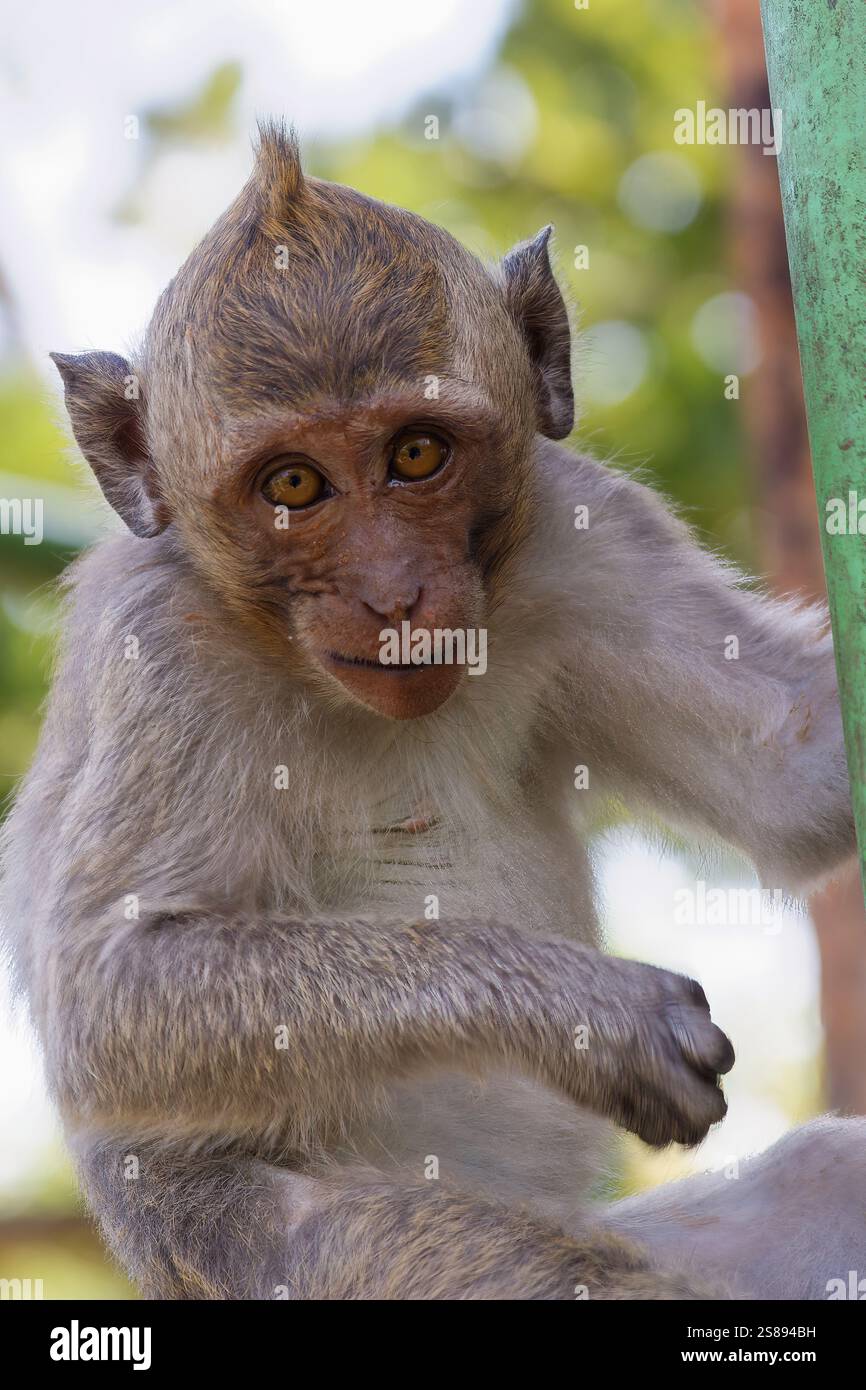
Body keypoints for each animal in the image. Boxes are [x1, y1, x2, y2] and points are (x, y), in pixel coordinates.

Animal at [2, 121, 864, 1301]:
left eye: (416, 454)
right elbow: (109, 991)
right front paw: (584, 1013)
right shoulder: (159, 651)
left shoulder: (584, 530)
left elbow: (794, 770)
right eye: (293, 485)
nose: (391, 594)